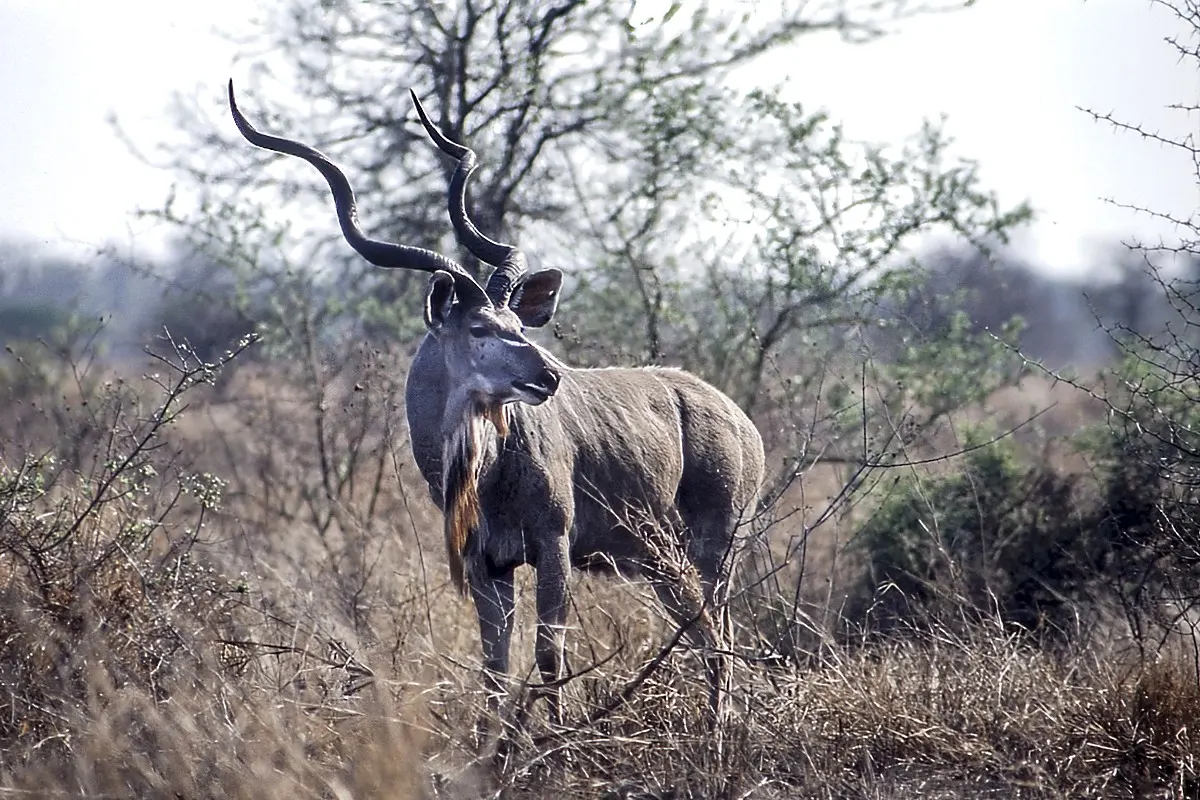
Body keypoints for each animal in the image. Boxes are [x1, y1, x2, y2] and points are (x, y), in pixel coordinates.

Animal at [229, 79, 763, 719]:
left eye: (518, 323)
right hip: (662, 561)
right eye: (481, 327)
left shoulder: (553, 546)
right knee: (708, 631)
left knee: (719, 634)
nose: (549, 376)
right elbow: (494, 666)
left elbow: (549, 655)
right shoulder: (489, 564)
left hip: (712, 549)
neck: (487, 473)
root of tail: (742, 423)